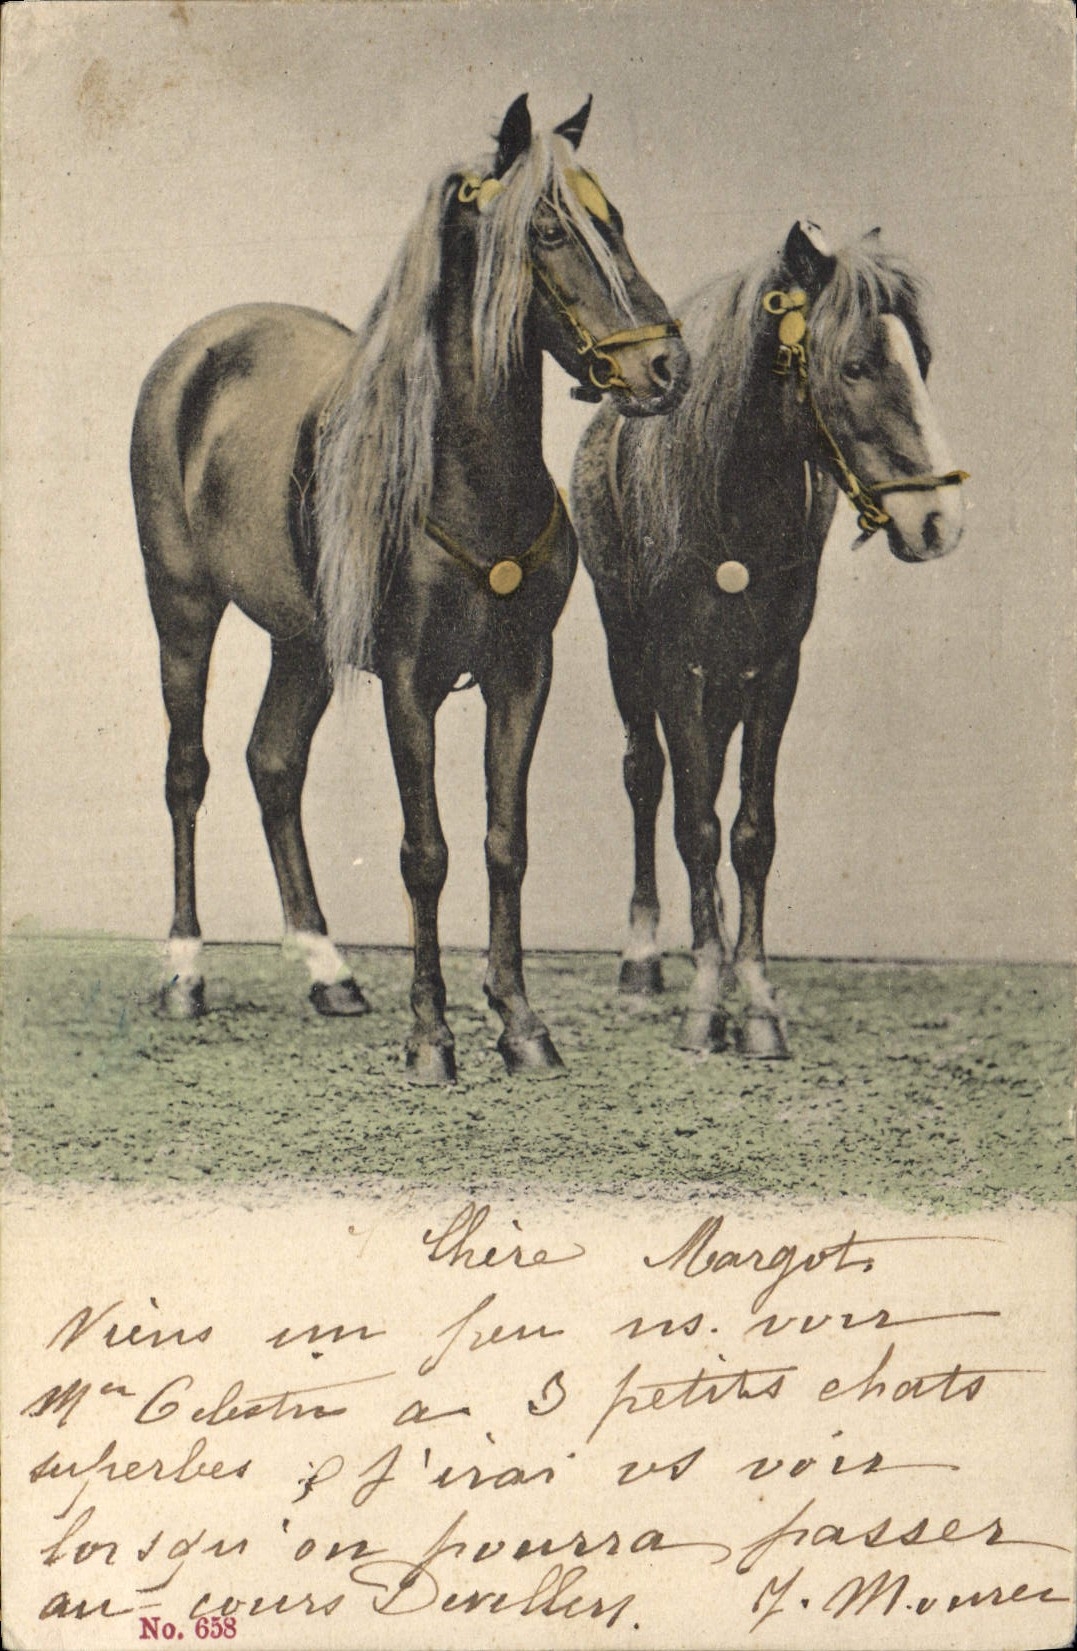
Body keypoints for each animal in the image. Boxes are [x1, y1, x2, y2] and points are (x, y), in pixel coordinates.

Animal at [132, 94, 689, 1083]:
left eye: (614, 220)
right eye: (548, 230)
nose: (661, 369)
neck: (466, 481)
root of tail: (197, 351)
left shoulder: (521, 672)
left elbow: (505, 845)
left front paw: (519, 1022)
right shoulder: (407, 680)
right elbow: (423, 853)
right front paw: (432, 1035)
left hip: (303, 642)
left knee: (273, 763)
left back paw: (329, 971)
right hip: (182, 610)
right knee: (186, 772)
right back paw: (186, 973)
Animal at [570, 219, 966, 1059]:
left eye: (919, 359)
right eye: (854, 364)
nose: (938, 521)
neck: (730, 495)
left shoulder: (774, 668)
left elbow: (750, 831)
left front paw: (750, 998)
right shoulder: (675, 664)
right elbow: (691, 824)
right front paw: (702, 998)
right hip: (624, 641)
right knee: (645, 775)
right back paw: (643, 959)